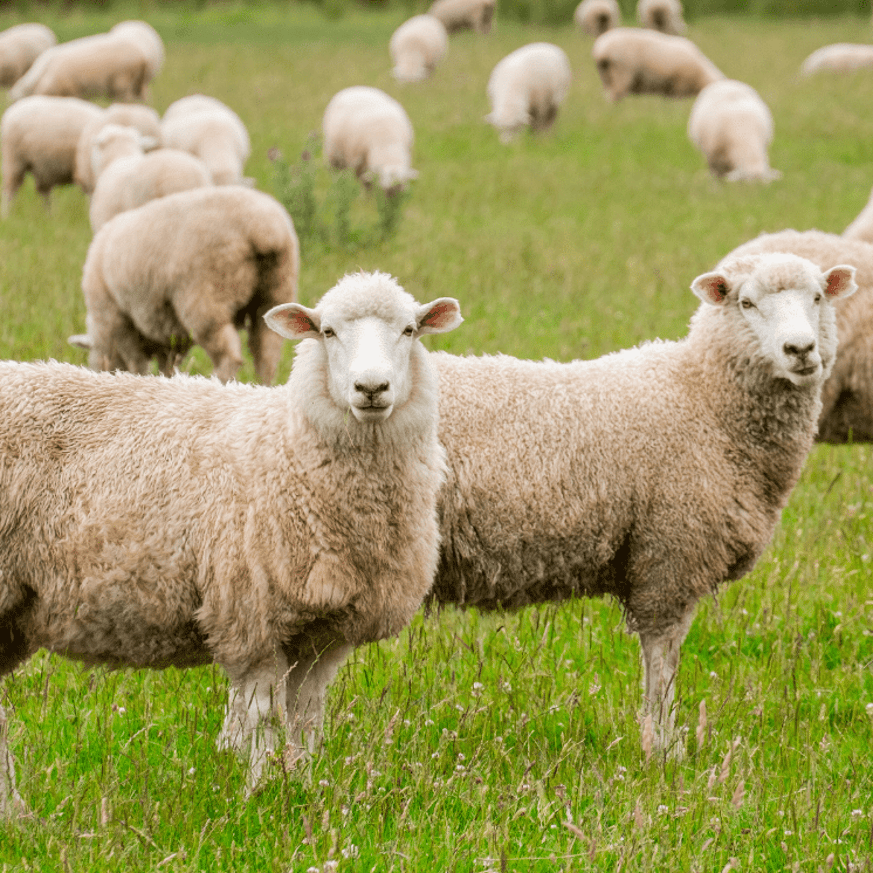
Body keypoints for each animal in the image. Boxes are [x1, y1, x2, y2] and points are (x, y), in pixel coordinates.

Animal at [0, 271, 463, 809]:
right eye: (327, 332)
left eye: (409, 330)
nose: (371, 388)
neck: (290, 448)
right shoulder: (250, 617)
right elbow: (263, 720)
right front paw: (260, 797)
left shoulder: (323, 635)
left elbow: (306, 720)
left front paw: (304, 790)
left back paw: (15, 812)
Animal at [7, 30, 153, 103]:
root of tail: (142, 56)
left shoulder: (69, 88)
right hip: (138, 81)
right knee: (143, 95)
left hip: (123, 78)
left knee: (127, 96)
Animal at [74, 186, 300, 385]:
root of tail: (264, 228)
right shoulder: (167, 334)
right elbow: (167, 366)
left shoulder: (118, 320)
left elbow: (137, 364)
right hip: (276, 291)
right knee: (267, 355)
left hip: (206, 296)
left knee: (229, 357)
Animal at [429, 253, 856, 754]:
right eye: (746, 302)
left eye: (818, 296)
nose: (800, 350)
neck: (704, 398)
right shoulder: (669, 554)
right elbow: (662, 659)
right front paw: (662, 746)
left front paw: (662, 740)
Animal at [593, 27, 724, 102]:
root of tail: (602, 49)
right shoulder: (679, 86)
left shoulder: (670, 89)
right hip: (622, 71)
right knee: (615, 95)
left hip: (605, 75)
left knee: (608, 94)